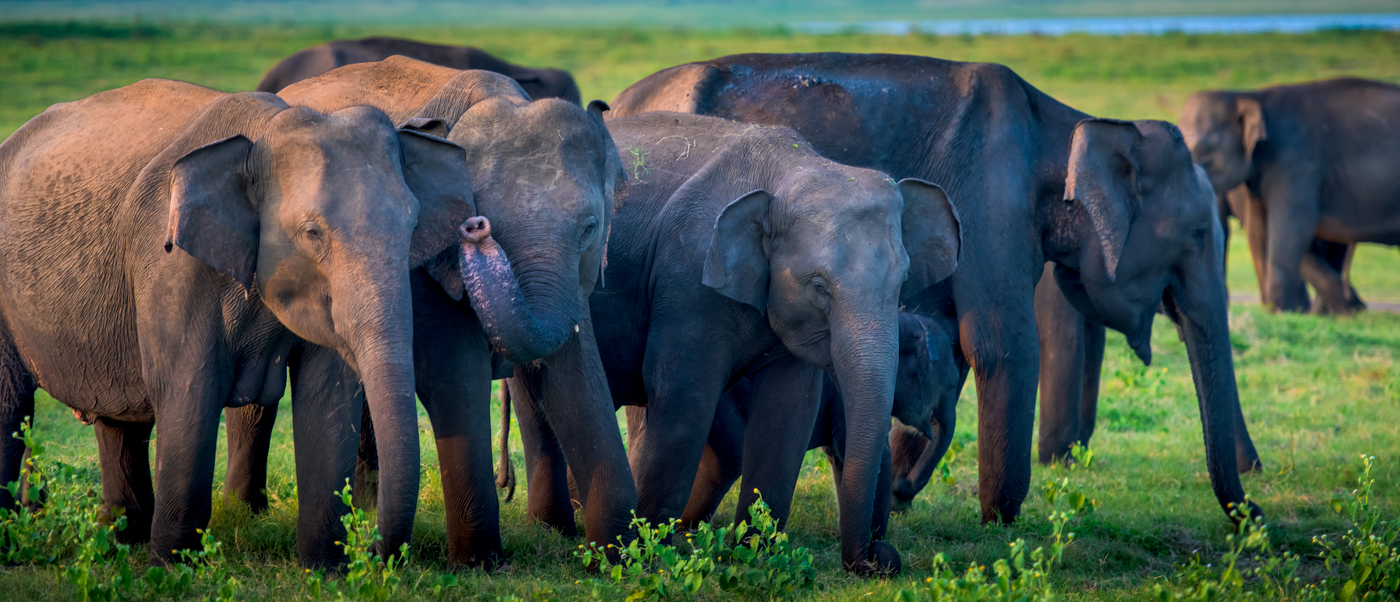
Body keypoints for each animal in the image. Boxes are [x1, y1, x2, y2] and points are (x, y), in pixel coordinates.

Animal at [0, 79, 479, 566]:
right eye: (312, 232)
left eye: (413, 223)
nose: (373, 548)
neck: (262, 134)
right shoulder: (169, 264)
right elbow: (187, 389)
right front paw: (171, 569)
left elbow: (328, 393)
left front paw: (326, 570)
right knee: (11, 405)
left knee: (119, 420)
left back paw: (120, 534)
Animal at [218, 56, 635, 566]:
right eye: (476, 216)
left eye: (590, 227)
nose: (476, 229)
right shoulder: (425, 273)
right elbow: (454, 376)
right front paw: (481, 565)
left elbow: (575, 378)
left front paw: (622, 555)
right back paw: (247, 514)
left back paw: (363, 510)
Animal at [555, 111, 961, 575]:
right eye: (818, 285)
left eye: (901, 283)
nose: (880, 559)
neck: (793, 166)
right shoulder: (687, 277)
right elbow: (683, 395)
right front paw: (651, 555)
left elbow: (789, 408)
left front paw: (755, 555)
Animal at [608, 52, 1262, 525]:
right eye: (1198, 233)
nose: (1255, 510)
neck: (1064, 122)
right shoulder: (992, 198)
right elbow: (1000, 343)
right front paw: (1000, 520)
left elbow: (950, 337)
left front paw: (898, 489)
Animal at [1180, 77, 1400, 313]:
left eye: (1202, 150)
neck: (1250, 96)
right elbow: (1263, 229)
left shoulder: (1296, 160)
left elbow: (1292, 228)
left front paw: (1280, 311)